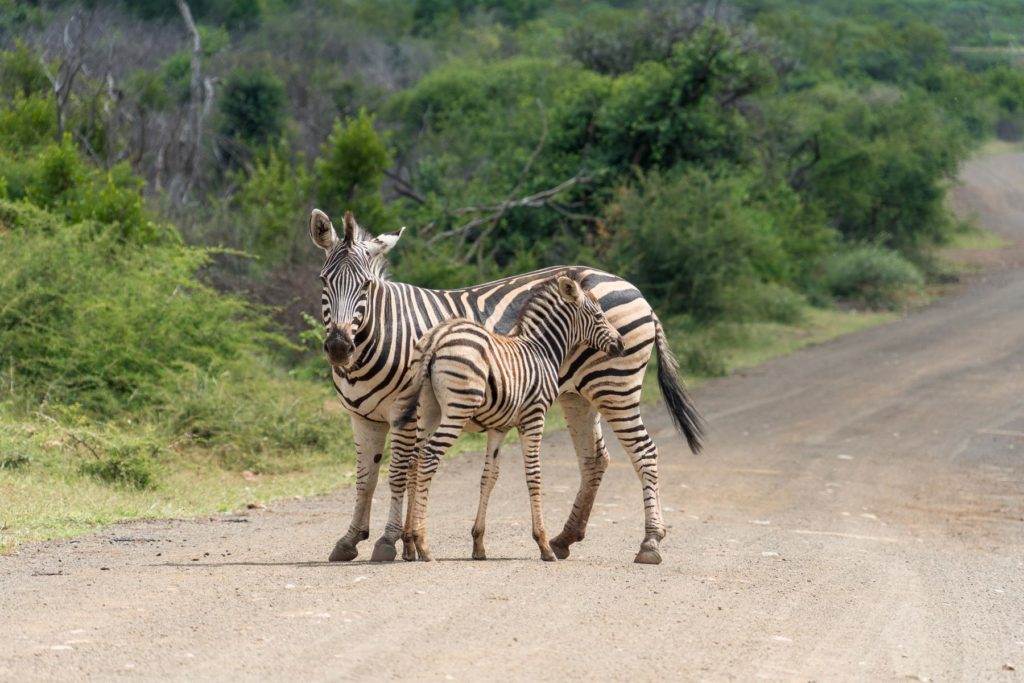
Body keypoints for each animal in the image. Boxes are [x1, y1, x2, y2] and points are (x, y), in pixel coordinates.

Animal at [391, 272, 618, 561]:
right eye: (600, 316)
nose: (621, 345)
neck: (542, 350)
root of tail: (439, 335)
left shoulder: (498, 428)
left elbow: (489, 477)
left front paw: (478, 544)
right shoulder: (534, 417)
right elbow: (534, 475)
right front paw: (543, 544)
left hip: (428, 410)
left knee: (414, 460)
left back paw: (410, 542)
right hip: (456, 410)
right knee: (430, 457)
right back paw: (423, 544)